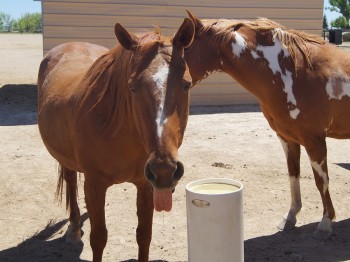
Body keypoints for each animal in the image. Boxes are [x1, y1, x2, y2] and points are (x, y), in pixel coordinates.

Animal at [37, 18, 196, 262]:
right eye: (132, 86)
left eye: (186, 84)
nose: (164, 170)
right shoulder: (94, 185)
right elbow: (99, 238)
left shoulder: (145, 185)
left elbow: (144, 235)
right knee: (71, 183)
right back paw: (74, 229)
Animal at [183, 10, 350, 239]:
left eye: (185, 45)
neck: (294, 71)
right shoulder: (288, 138)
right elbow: (293, 175)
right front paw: (290, 217)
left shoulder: (314, 139)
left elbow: (321, 181)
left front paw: (325, 223)